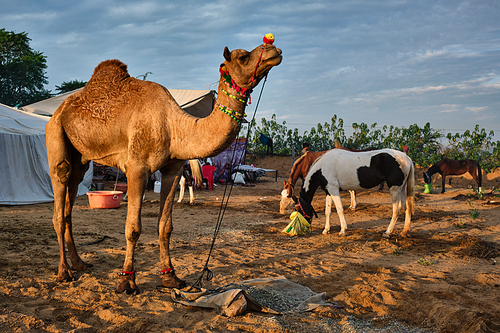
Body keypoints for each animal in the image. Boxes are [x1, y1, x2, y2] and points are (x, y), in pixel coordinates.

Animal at [46, 39, 282, 294]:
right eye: (243, 57)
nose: (273, 49)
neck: (174, 126)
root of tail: (60, 110)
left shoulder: (173, 170)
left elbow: (165, 226)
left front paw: (170, 277)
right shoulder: (137, 168)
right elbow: (133, 228)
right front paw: (126, 281)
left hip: (80, 156)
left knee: (70, 200)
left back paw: (79, 263)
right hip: (55, 133)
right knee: (59, 195)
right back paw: (64, 272)